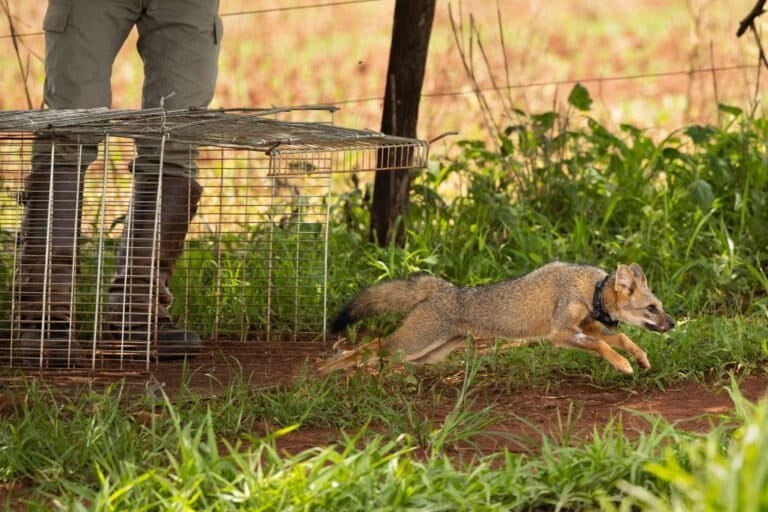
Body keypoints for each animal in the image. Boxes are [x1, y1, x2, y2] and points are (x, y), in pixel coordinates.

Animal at [318, 262, 674, 376]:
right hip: (410, 346)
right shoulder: (559, 334)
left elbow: (621, 337)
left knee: (375, 354)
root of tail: (444, 287)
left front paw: (639, 358)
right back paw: (322, 372)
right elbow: (604, 347)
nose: (672, 324)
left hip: (429, 354)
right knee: (365, 348)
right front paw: (623, 364)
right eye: (651, 308)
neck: (590, 289)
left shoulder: (584, 329)